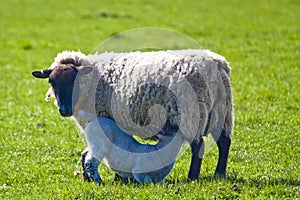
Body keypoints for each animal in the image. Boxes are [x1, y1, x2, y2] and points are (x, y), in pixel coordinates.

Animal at [32, 48, 234, 181]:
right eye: (51, 82)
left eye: (74, 81)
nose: (64, 110)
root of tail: (217, 64)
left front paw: (117, 178)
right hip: (220, 111)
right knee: (224, 141)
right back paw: (220, 174)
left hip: (192, 113)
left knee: (198, 145)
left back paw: (193, 177)